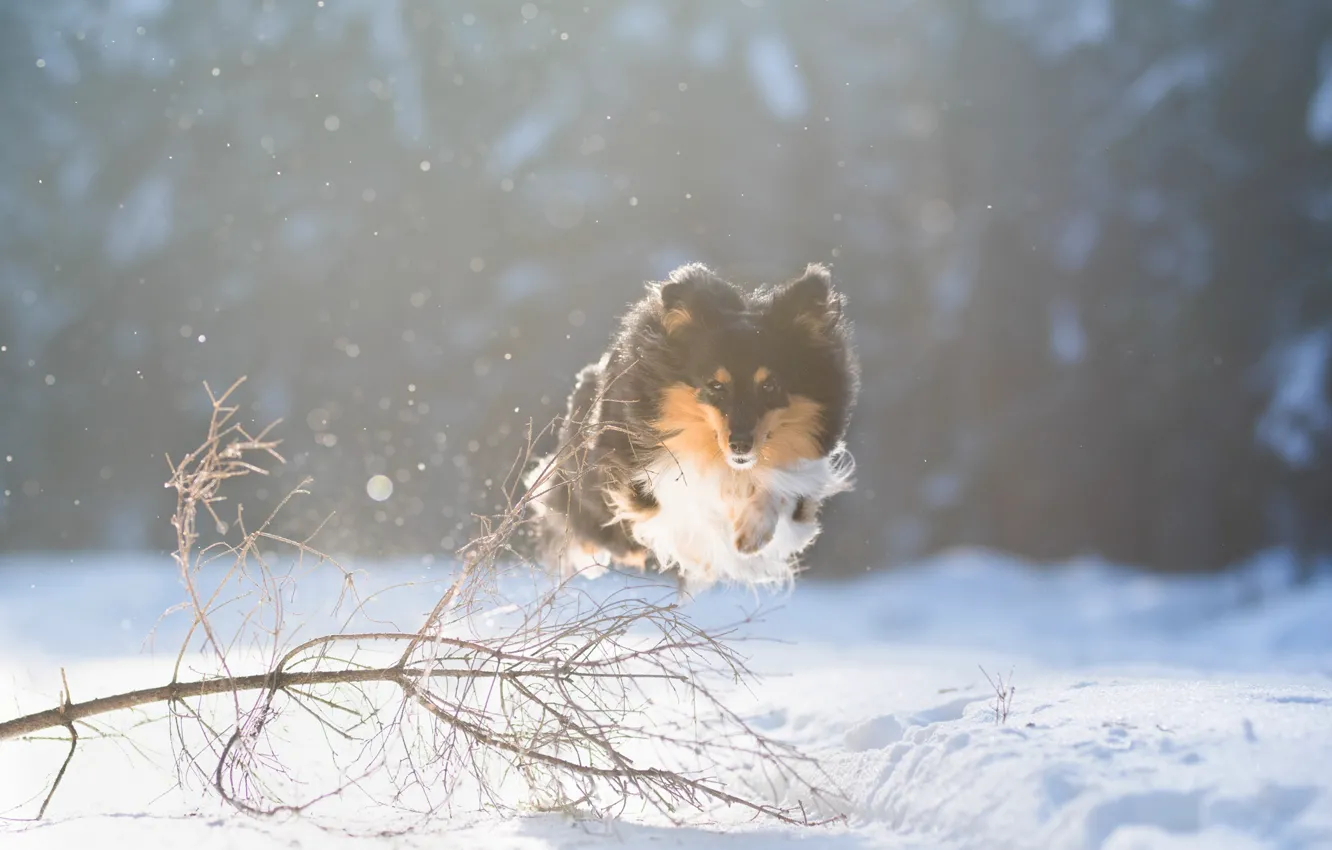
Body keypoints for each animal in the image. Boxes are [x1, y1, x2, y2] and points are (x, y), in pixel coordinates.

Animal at [524, 263, 857, 596]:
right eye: (715, 386)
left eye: (770, 385)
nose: (740, 445)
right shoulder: (646, 479)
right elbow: (689, 493)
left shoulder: (799, 485)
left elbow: (780, 488)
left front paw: (751, 533)